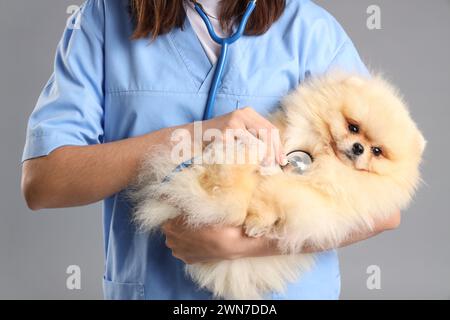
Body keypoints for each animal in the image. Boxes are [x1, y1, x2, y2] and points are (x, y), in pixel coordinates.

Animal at [130, 72, 426, 300]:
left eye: (377, 151)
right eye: (353, 127)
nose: (358, 148)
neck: (324, 155)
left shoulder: (312, 197)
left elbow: (275, 194)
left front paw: (256, 224)